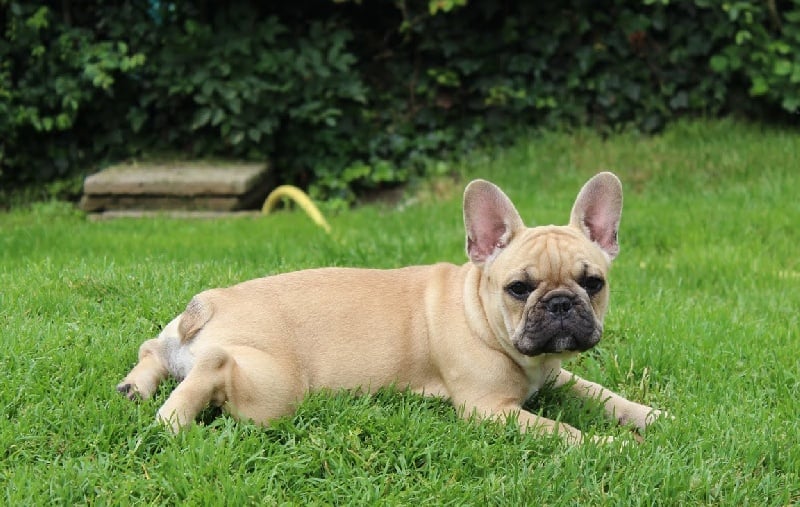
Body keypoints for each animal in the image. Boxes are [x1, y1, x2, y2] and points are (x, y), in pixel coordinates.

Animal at [118, 172, 665, 444]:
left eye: (593, 283)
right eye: (518, 288)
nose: (560, 304)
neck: (479, 310)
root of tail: (210, 304)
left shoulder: (556, 376)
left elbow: (600, 393)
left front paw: (649, 416)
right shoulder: (490, 409)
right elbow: (564, 430)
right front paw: (613, 446)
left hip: (182, 343)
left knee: (153, 349)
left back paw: (134, 387)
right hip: (274, 390)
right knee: (214, 366)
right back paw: (173, 419)